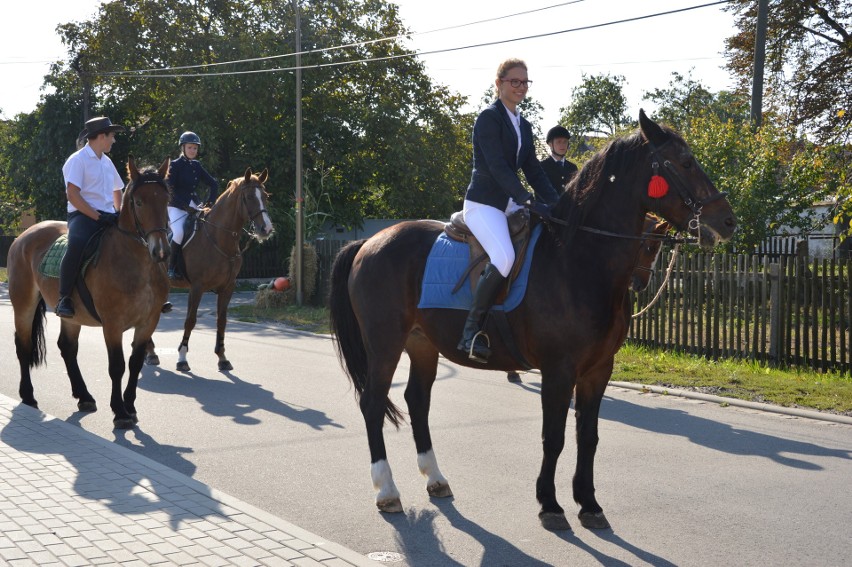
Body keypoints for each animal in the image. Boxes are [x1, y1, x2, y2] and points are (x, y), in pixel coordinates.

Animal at [8, 158, 171, 428]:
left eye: (166, 200)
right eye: (139, 202)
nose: (160, 251)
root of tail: (24, 236)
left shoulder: (148, 322)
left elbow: (135, 363)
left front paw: (130, 406)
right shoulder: (112, 324)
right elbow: (117, 366)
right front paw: (120, 412)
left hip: (72, 316)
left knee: (67, 347)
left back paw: (83, 396)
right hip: (23, 304)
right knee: (24, 346)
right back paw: (28, 396)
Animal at [145, 169, 272, 372]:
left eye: (265, 196)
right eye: (249, 197)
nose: (266, 229)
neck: (218, 237)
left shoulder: (228, 287)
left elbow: (222, 321)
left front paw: (222, 358)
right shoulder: (197, 287)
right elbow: (190, 320)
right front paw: (182, 358)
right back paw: (150, 353)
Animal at [330, 112, 736, 532]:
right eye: (685, 163)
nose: (727, 221)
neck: (578, 260)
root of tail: (370, 242)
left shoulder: (598, 370)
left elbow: (588, 436)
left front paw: (589, 504)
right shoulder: (558, 371)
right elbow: (553, 437)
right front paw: (550, 505)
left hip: (422, 344)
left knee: (417, 401)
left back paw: (436, 478)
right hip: (384, 344)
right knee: (373, 403)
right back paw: (386, 489)